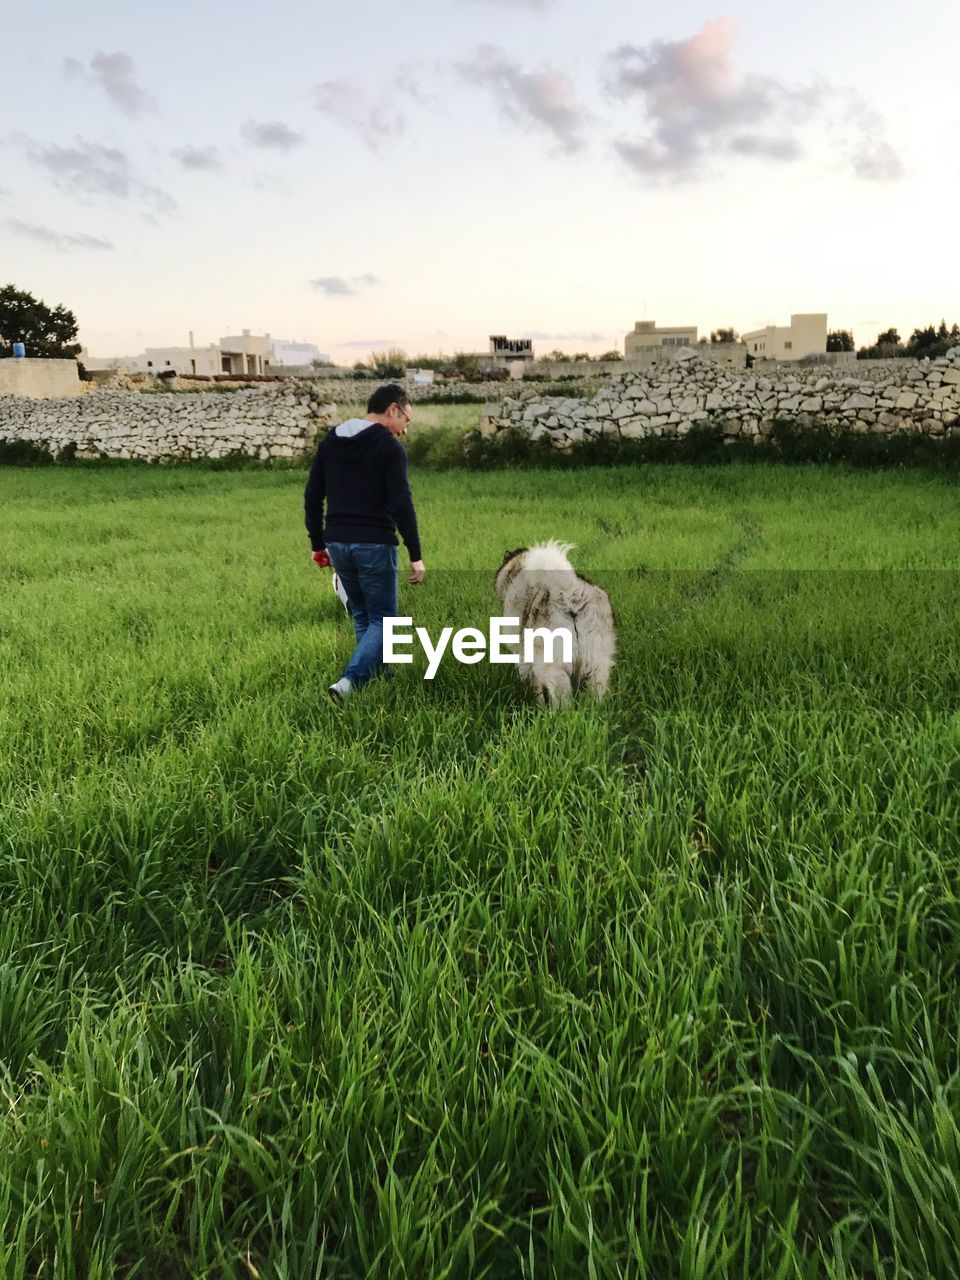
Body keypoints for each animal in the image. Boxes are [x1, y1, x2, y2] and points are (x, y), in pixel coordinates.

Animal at [491, 535, 619, 706]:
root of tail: (571, 592)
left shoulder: (523, 656)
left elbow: (533, 686)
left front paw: (537, 706)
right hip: (597, 663)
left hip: (554, 666)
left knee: (562, 697)